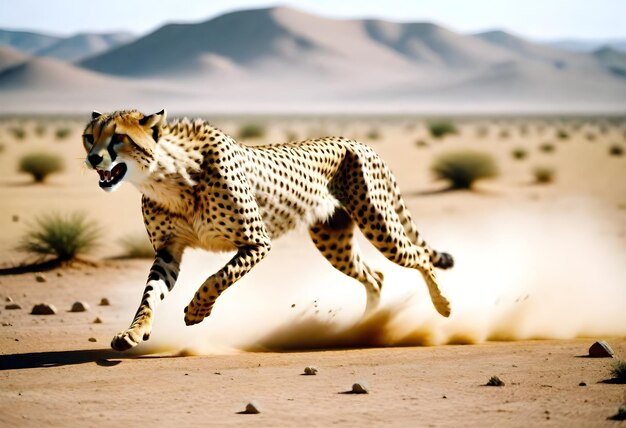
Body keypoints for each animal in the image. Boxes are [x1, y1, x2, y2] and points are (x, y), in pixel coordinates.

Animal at [83, 109, 454, 352]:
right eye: (89, 137)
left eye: (118, 137)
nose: (92, 158)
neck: (168, 176)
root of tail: (359, 142)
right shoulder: (168, 251)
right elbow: (149, 296)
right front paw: (132, 333)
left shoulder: (256, 242)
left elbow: (217, 278)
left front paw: (197, 311)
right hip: (333, 240)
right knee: (375, 276)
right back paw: (363, 327)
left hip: (378, 224)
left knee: (419, 256)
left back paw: (444, 305)